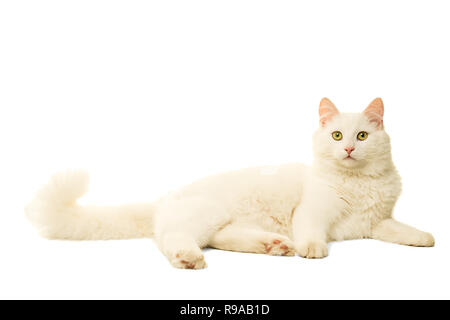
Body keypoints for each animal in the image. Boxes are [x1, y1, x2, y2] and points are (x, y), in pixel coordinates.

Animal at [26, 99, 434, 268]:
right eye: (336, 135)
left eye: (362, 136)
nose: (348, 148)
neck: (357, 182)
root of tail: (164, 197)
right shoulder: (313, 213)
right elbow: (312, 232)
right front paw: (313, 250)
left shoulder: (376, 222)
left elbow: (399, 229)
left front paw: (424, 238)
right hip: (204, 215)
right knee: (171, 239)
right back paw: (189, 259)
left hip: (221, 223)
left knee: (221, 239)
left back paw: (273, 246)